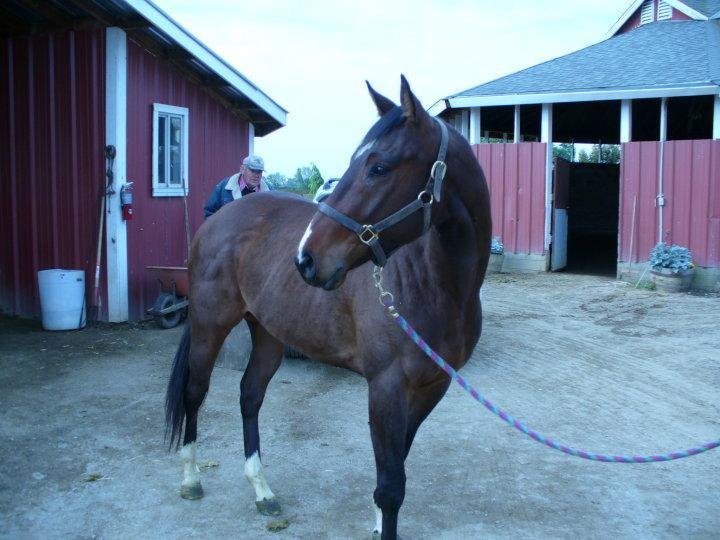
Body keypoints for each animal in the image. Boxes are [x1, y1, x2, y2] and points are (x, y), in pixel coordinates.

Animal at [165, 75, 491, 539]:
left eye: (378, 166)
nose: (305, 259)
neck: (435, 285)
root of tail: (217, 219)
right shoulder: (386, 388)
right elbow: (391, 485)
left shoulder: (432, 387)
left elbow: (396, 470)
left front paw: (377, 524)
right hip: (210, 326)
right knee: (195, 392)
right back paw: (191, 478)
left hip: (268, 332)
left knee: (250, 394)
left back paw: (262, 489)